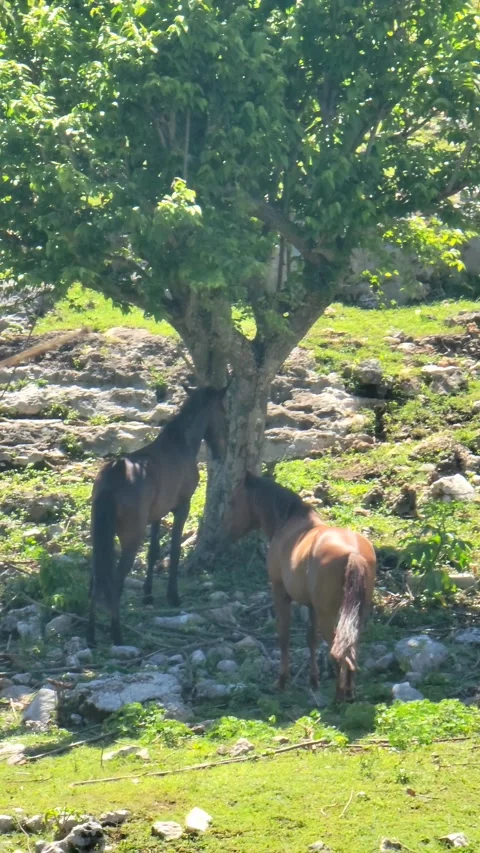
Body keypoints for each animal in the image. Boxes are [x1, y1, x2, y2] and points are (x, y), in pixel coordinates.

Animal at [87, 384, 228, 646]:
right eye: (223, 412)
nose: (221, 451)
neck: (180, 443)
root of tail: (114, 476)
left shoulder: (156, 515)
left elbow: (153, 552)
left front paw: (148, 594)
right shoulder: (182, 507)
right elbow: (174, 550)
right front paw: (173, 595)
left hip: (99, 540)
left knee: (94, 580)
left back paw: (90, 636)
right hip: (131, 539)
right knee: (115, 582)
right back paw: (117, 634)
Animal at [227, 472, 376, 701]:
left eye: (233, 501)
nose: (226, 532)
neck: (289, 522)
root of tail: (354, 553)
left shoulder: (279, 591)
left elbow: (284, 634)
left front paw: (282, 680)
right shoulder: (311, 605)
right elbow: (311, 639)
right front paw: (313, 680)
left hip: (328, 615)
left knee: (340, 652)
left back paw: (340, 696)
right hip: (357, 615)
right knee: (351, 649)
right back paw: (349, 693)